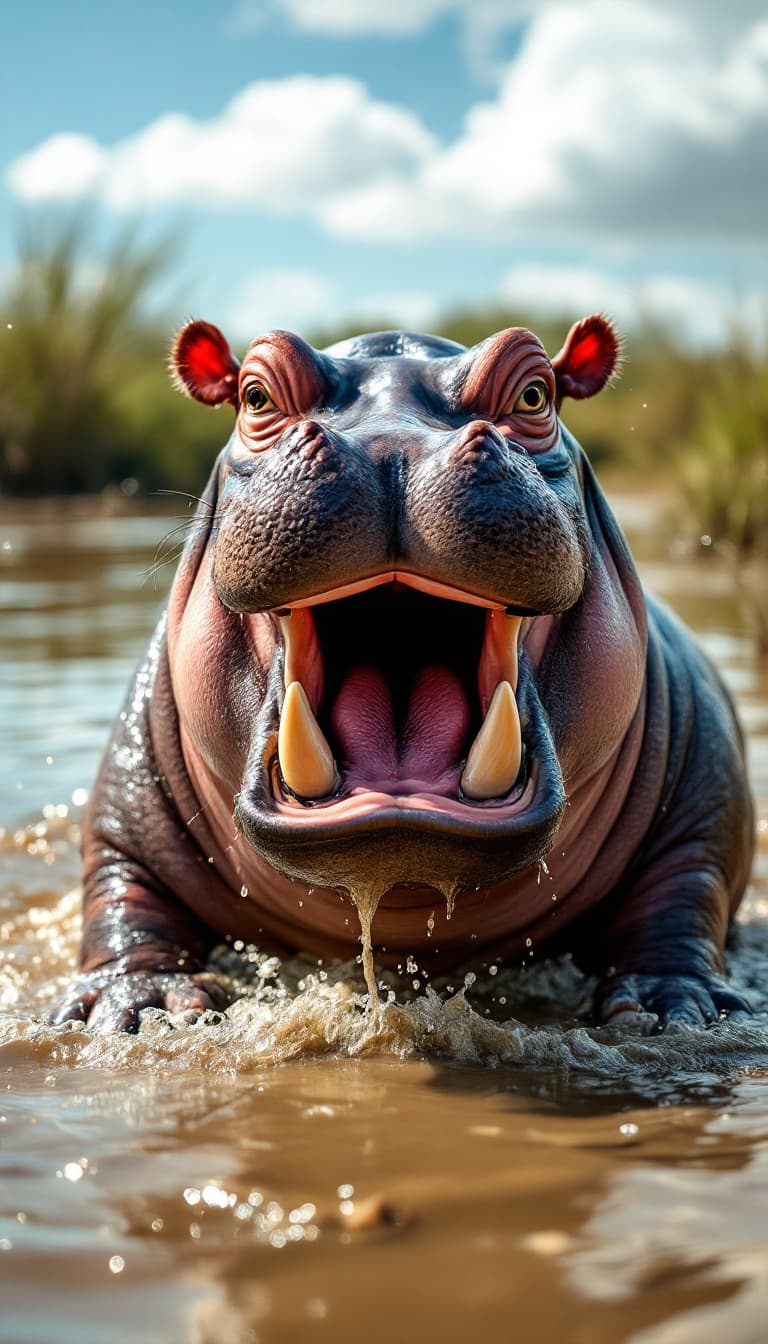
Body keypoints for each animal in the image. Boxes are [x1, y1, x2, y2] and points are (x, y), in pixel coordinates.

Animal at [53, 315, 754, 1032]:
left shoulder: (698, 805)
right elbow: (125, 884)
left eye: (536, 395)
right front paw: (143, 1007)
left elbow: (682, 888)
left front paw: (671, 1006)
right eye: (255, 396)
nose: (391, 450)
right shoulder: (133, 799)